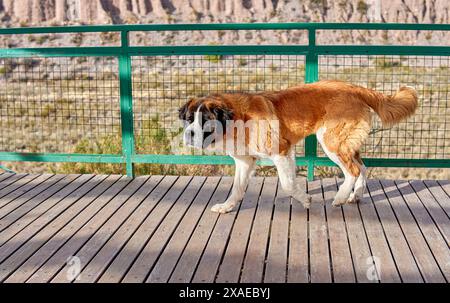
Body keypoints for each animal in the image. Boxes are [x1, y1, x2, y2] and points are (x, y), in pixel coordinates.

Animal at [178, 80, 416, 214]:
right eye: (189, 119)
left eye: (205, 121)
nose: (189, 134)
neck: (238, 118)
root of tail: (354, 88)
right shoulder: (246, 162)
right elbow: (238, 188)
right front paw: (227, 207)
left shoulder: (280, 151)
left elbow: (287, 184)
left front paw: (305, 199)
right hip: (345, 144)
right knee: (363, 167)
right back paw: (355, 195)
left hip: (331, 142)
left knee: (353, 170)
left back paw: (340, 197)